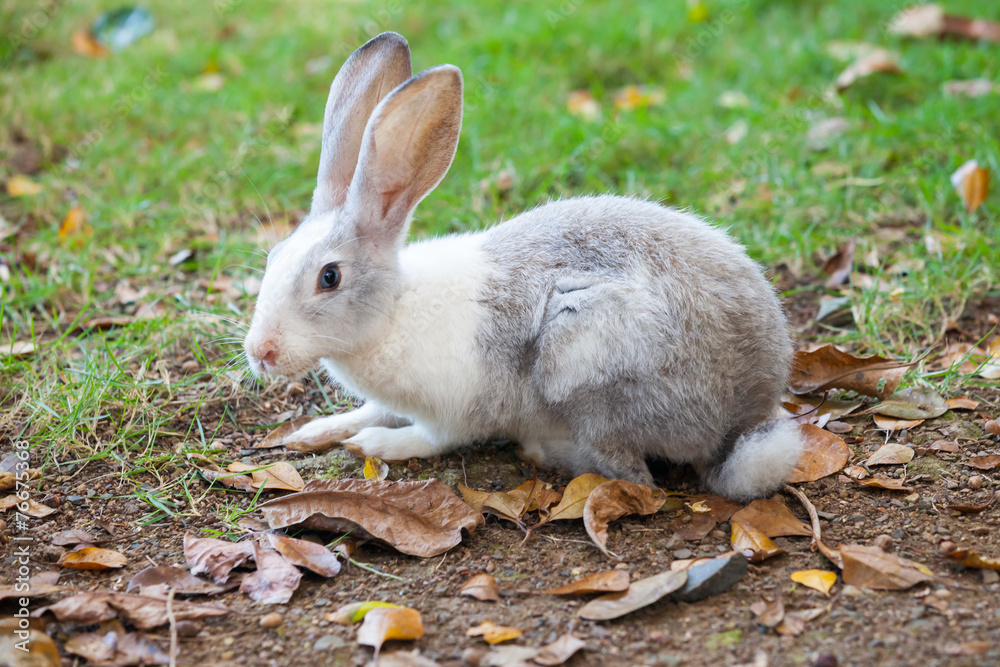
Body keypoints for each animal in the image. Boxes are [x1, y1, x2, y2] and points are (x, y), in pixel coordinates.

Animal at [242, 31, 804, 500]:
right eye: (274, 257)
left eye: (329, 277)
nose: (260, 353)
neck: (391, 310)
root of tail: (743, 416)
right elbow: (370, 409)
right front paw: (313, 432)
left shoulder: (455, 410)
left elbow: (430, 438)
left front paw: (377, 444)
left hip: (580, 354)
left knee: (631, 472)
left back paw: (545, 449)